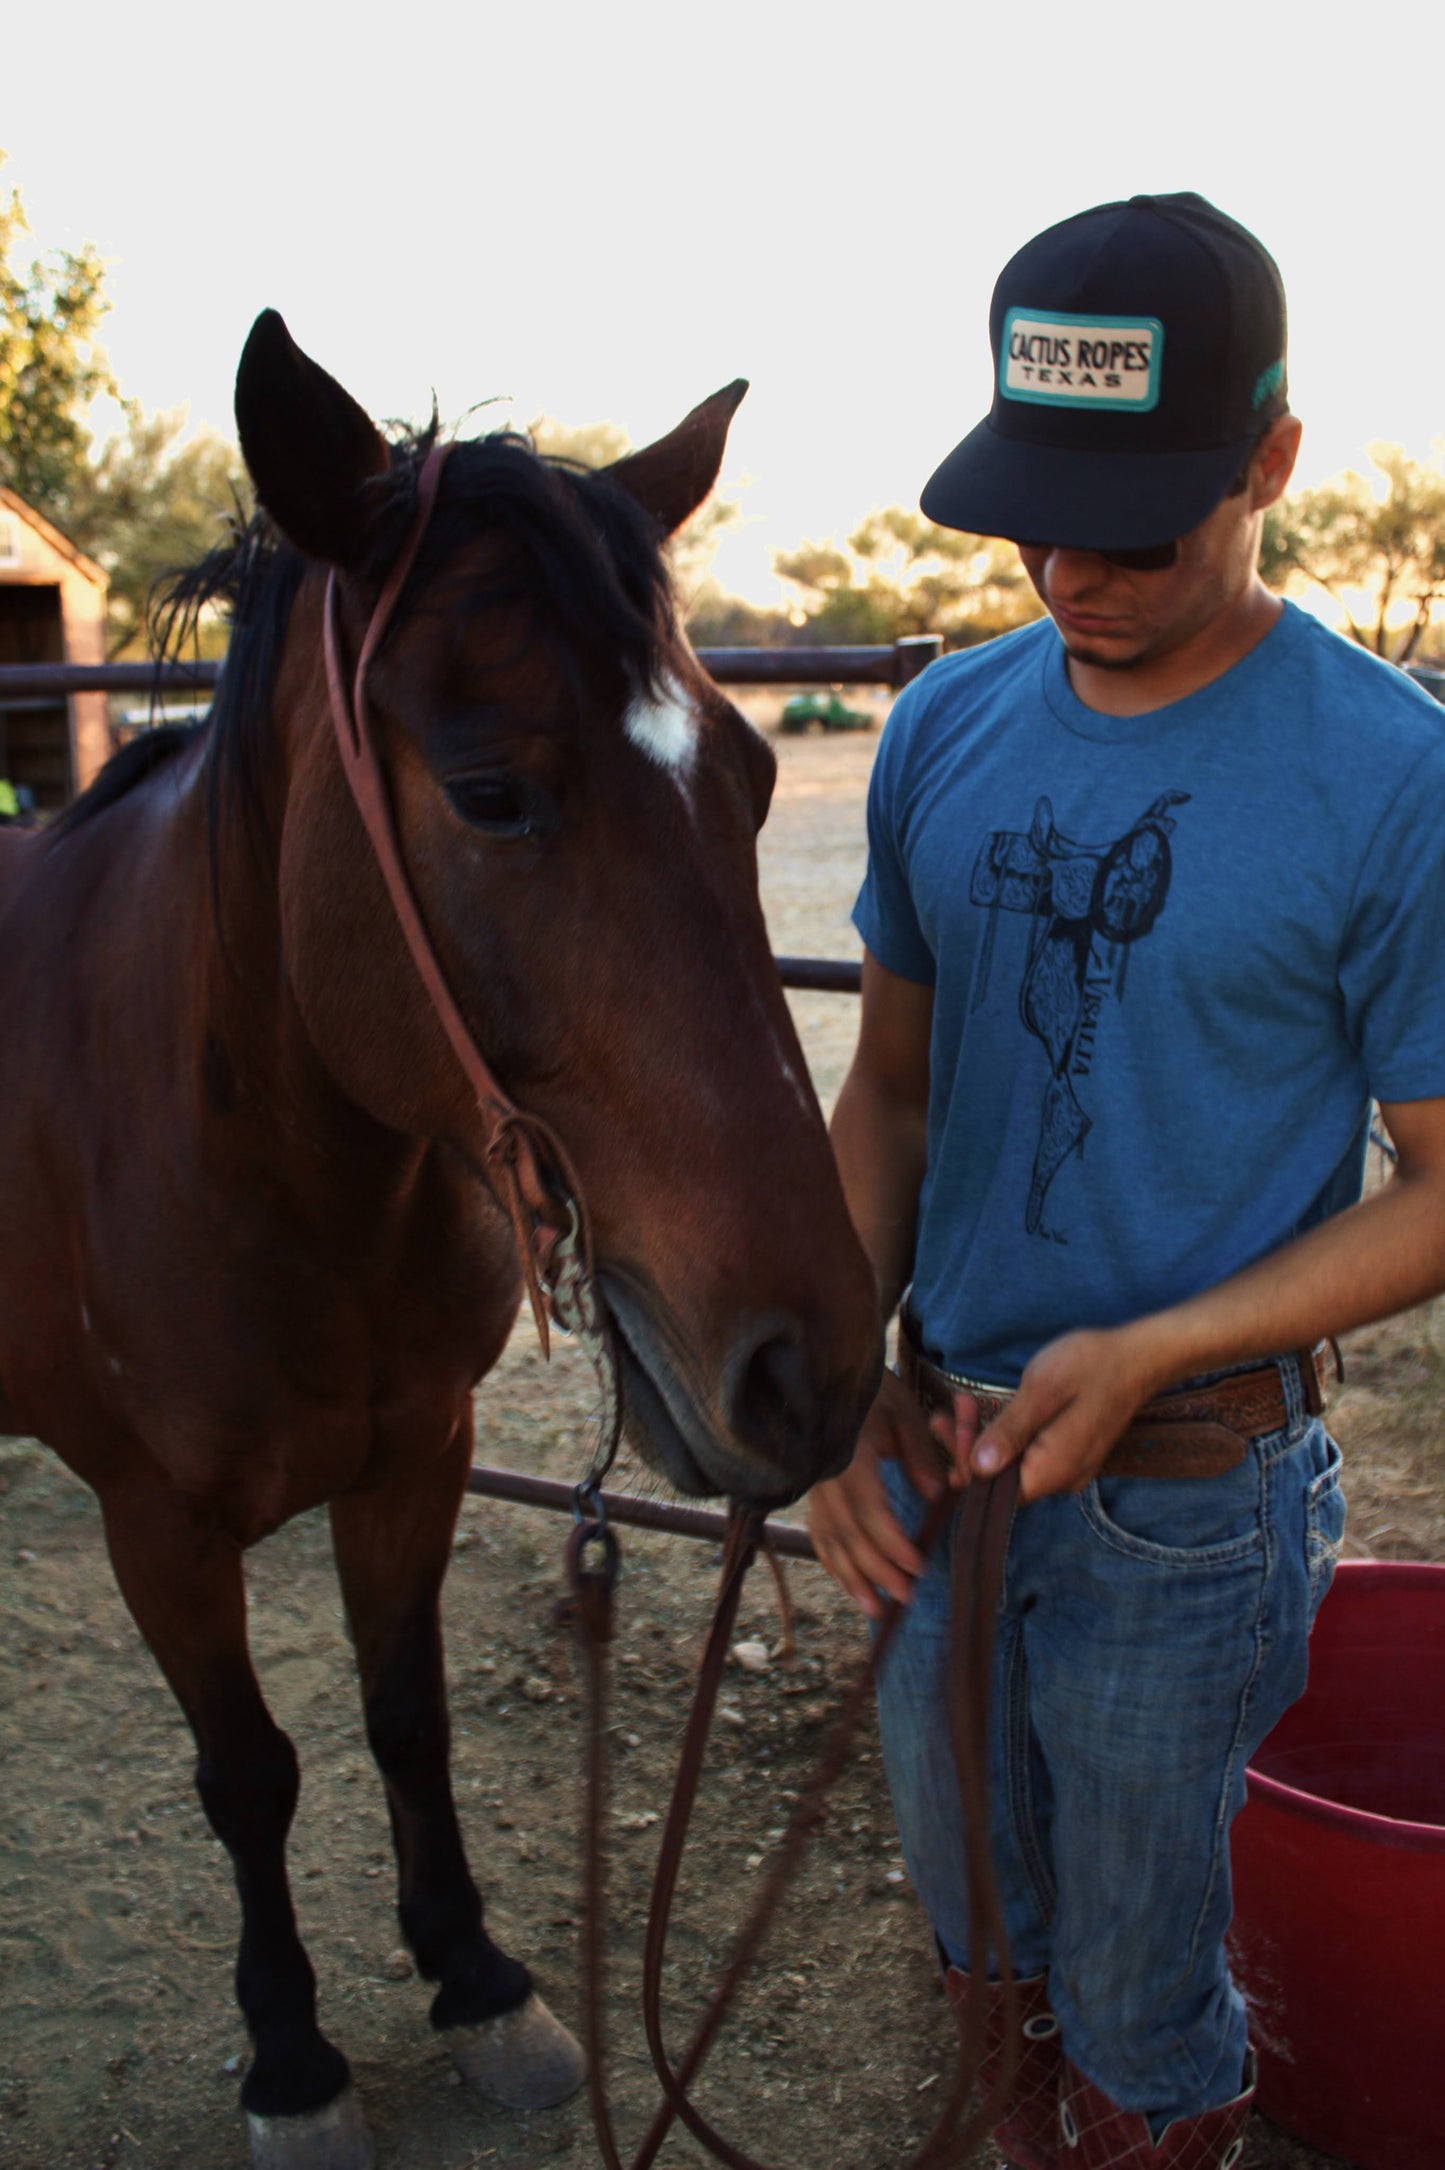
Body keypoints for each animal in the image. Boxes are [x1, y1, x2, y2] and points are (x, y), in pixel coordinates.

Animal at [0, 314, 876, 2170]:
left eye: (759, 774)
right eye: (488, 792)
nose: (813, 1367)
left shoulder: (421, 1450)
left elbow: (408, 1713)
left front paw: (473, 1977)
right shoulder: (155, 1522)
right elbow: (249, 1771)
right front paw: (293, 2055)